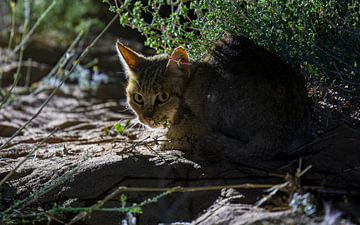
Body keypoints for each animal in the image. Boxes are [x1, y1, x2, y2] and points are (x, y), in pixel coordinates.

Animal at [115, 34, 312, 165]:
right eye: (138, 98)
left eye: (163, 97)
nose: (145, 118)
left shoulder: (193, 125)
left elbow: (172, 138)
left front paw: (162, 143)